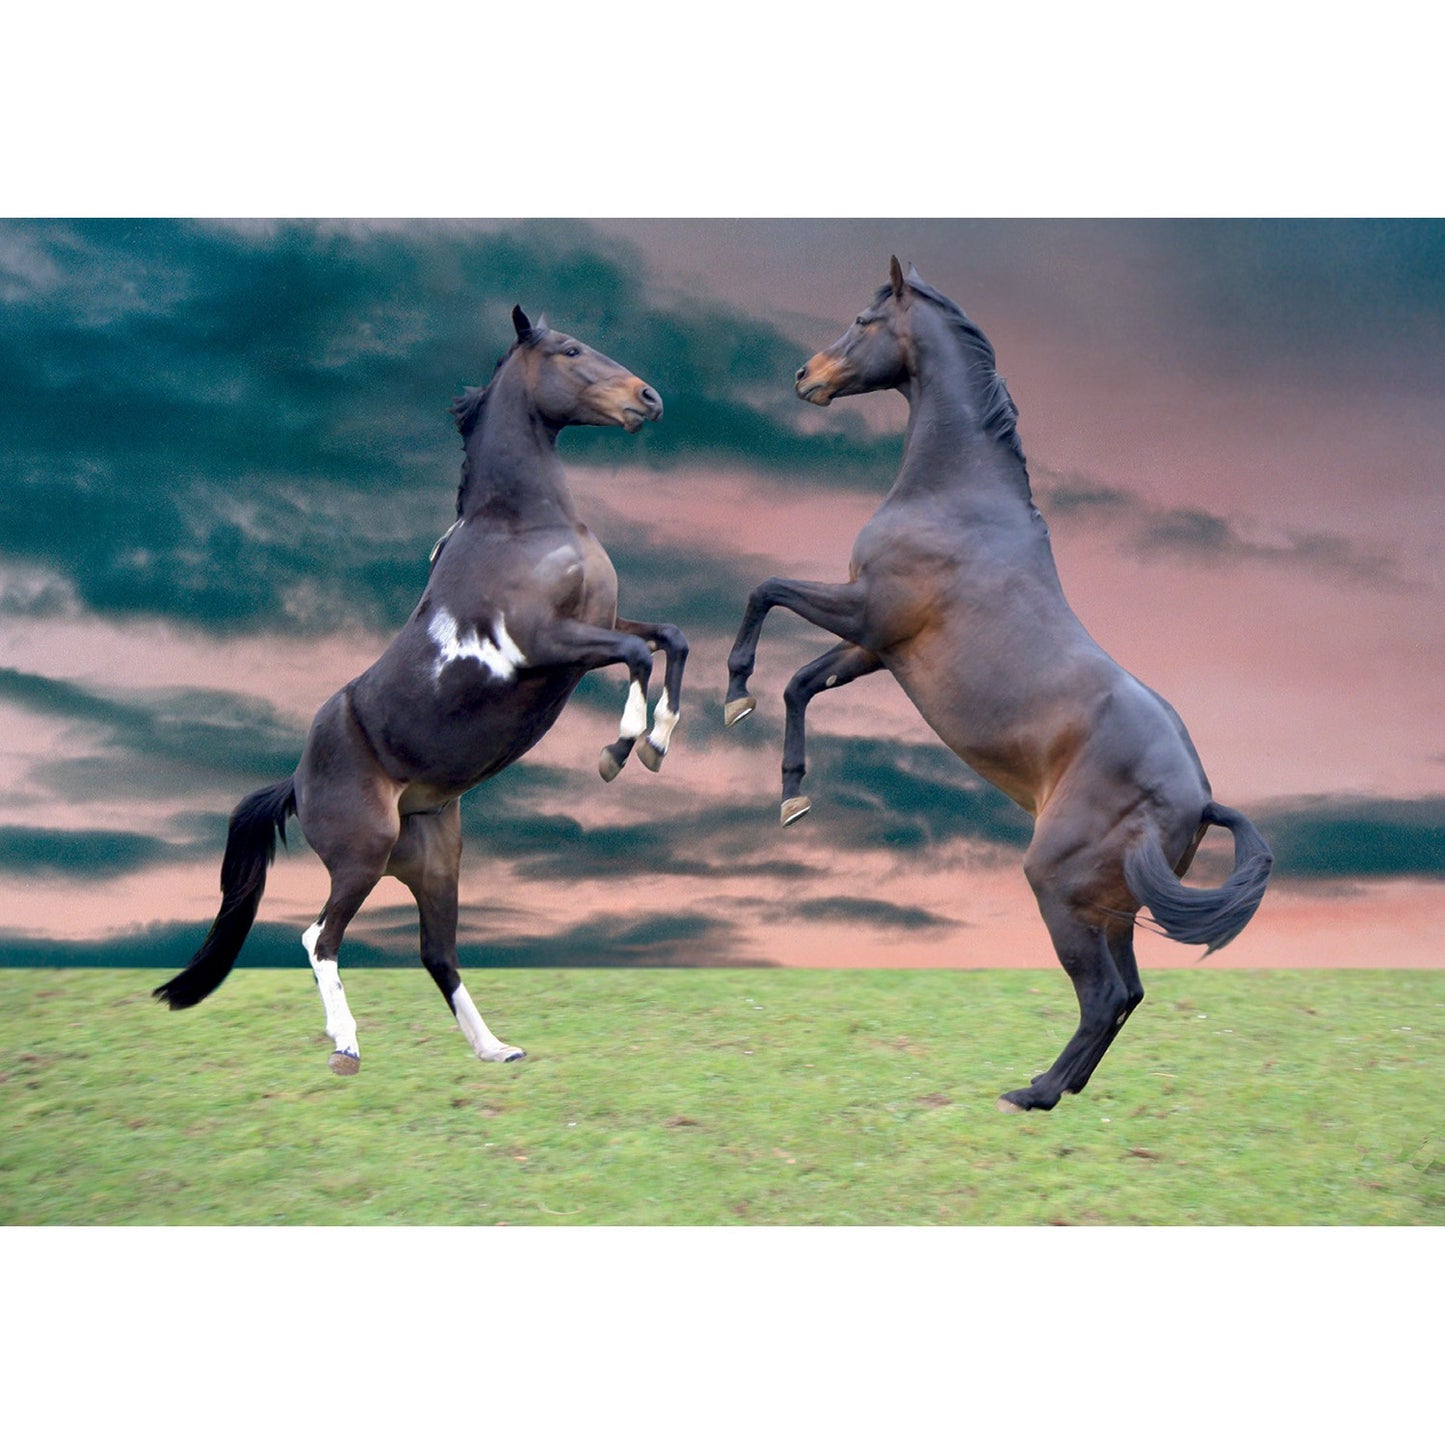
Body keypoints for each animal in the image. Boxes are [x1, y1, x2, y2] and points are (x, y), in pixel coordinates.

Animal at [155, 305, 687, 1074]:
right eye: (568, 350)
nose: (647, 398)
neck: (521, 524)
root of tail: (295, 780)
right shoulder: (547, 643)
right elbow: (637, 655)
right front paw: (621, 749)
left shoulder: (598, 624)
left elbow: (669, 638)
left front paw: (659, 741)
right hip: (363, 855)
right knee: (319, 937)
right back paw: (346, 1046)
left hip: (436, 862)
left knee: (437, 953)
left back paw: (496, 1049)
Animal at [723, 258, 1272, 1112]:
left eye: (863, 319)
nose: (805, 376)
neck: (956, 498)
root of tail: (1201, 797)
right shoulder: (878, 647)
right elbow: (802, 686)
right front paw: (790, 795)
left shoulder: (866, 610)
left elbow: (764, 592)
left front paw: (733, 691)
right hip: (1109, 903)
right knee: (1128, 992)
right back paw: (1065, 1089)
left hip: (1058, 884)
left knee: (1103, 994)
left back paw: (1033, 1092)